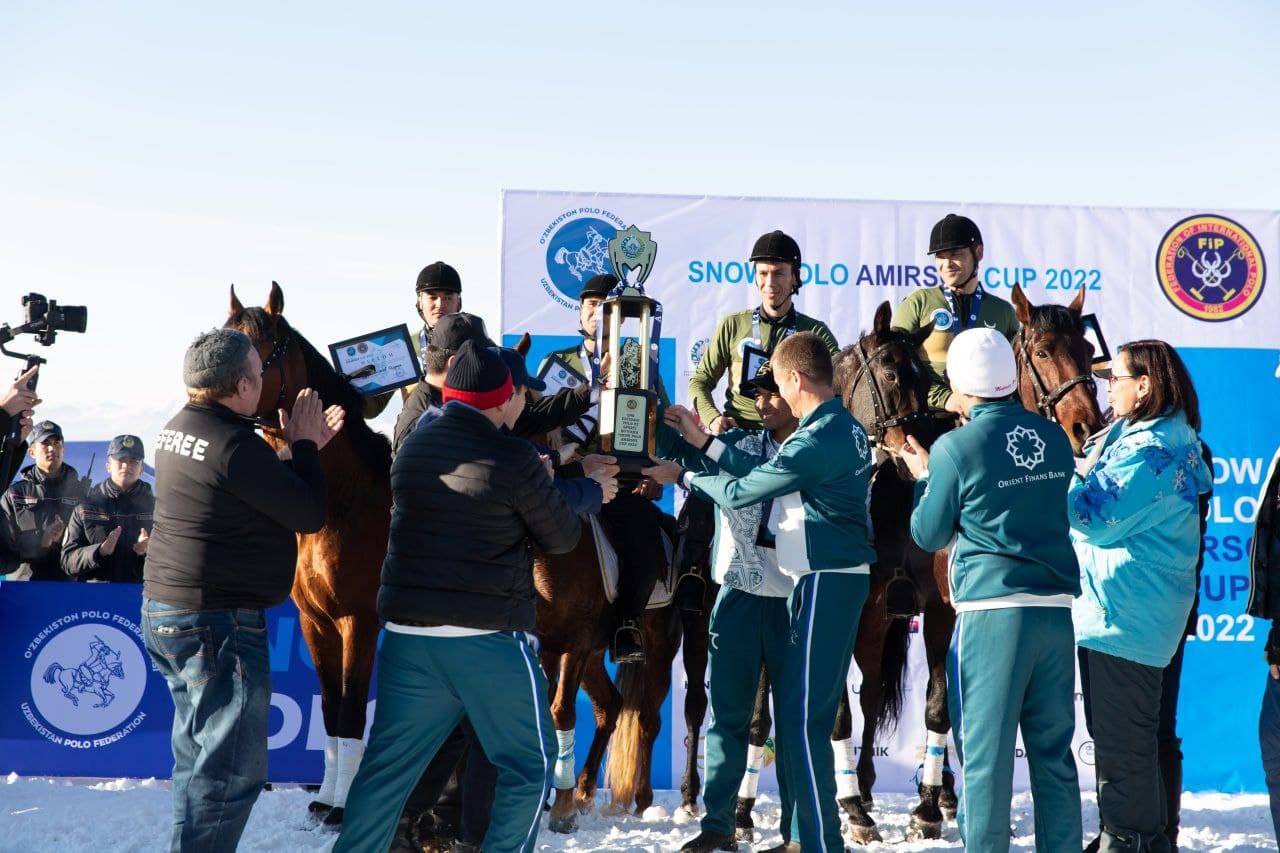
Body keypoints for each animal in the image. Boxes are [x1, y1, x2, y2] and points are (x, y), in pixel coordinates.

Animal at [225, 283, 391, 827]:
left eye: (254, 346)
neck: (343, 498)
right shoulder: (315, 622)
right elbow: (332, 712)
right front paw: (325, 802)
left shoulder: (359, 621)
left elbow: (353, 711)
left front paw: (344, 810)